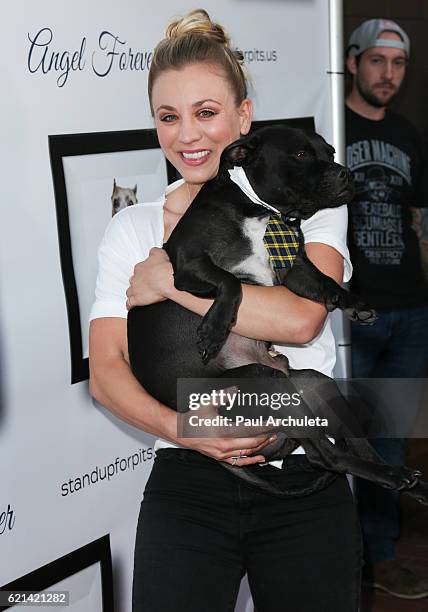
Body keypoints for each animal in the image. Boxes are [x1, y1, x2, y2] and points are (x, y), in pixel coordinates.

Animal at [127, 126, 428, 504]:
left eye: (330, 152)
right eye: (300, 155)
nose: (346, 173)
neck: (260, 210)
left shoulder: (294, 270)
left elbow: (326, 282)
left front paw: (354, 304)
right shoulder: (187, 264)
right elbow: (231, 282)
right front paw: (214, 329)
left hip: (313, 385)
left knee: (343, 448)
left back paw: (401, 478)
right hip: (263, 380)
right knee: (325, 455)